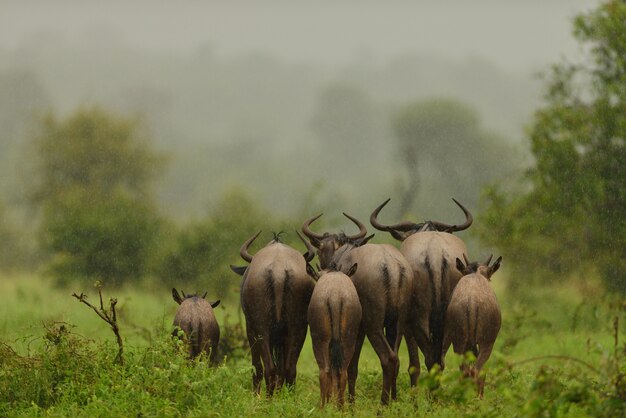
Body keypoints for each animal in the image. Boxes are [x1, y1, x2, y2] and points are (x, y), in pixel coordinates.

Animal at [308, 264, 360, 408]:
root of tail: (335, 297)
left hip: (320, 341)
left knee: (324, 372)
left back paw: (322, 407)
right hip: (349, 341)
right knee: (342, 372)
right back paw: (340, 408)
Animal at [442, 255, 500, 398]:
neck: (476, 273)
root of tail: (472, 301)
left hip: (459, 342)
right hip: (485, 342)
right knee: (476, 370)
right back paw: (477, 398)